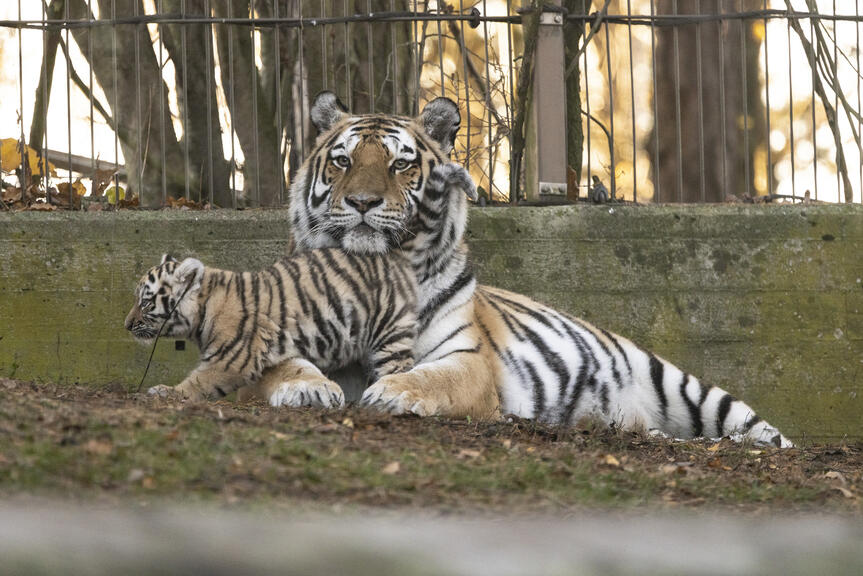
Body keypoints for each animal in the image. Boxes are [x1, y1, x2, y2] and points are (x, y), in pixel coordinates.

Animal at [248, 92, 788, 448]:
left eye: (401, 164)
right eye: (342, 161)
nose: (362, 202)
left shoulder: (467, 360)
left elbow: (430, 379)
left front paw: (389, 392)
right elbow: (281, 365)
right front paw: (308, 387)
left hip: (678, 383)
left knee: (759, 428)